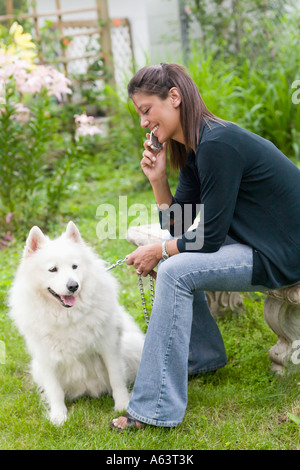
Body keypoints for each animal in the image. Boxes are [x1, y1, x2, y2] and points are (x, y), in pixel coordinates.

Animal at [8, 221, 145, 426]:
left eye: (74, 266)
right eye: (53, 269)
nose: (73, 286)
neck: (67, 315)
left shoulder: (109, 346)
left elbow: (116, 378)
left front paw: (122, 405)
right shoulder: (46, 357)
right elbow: (55, 389)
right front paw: (59, 416)